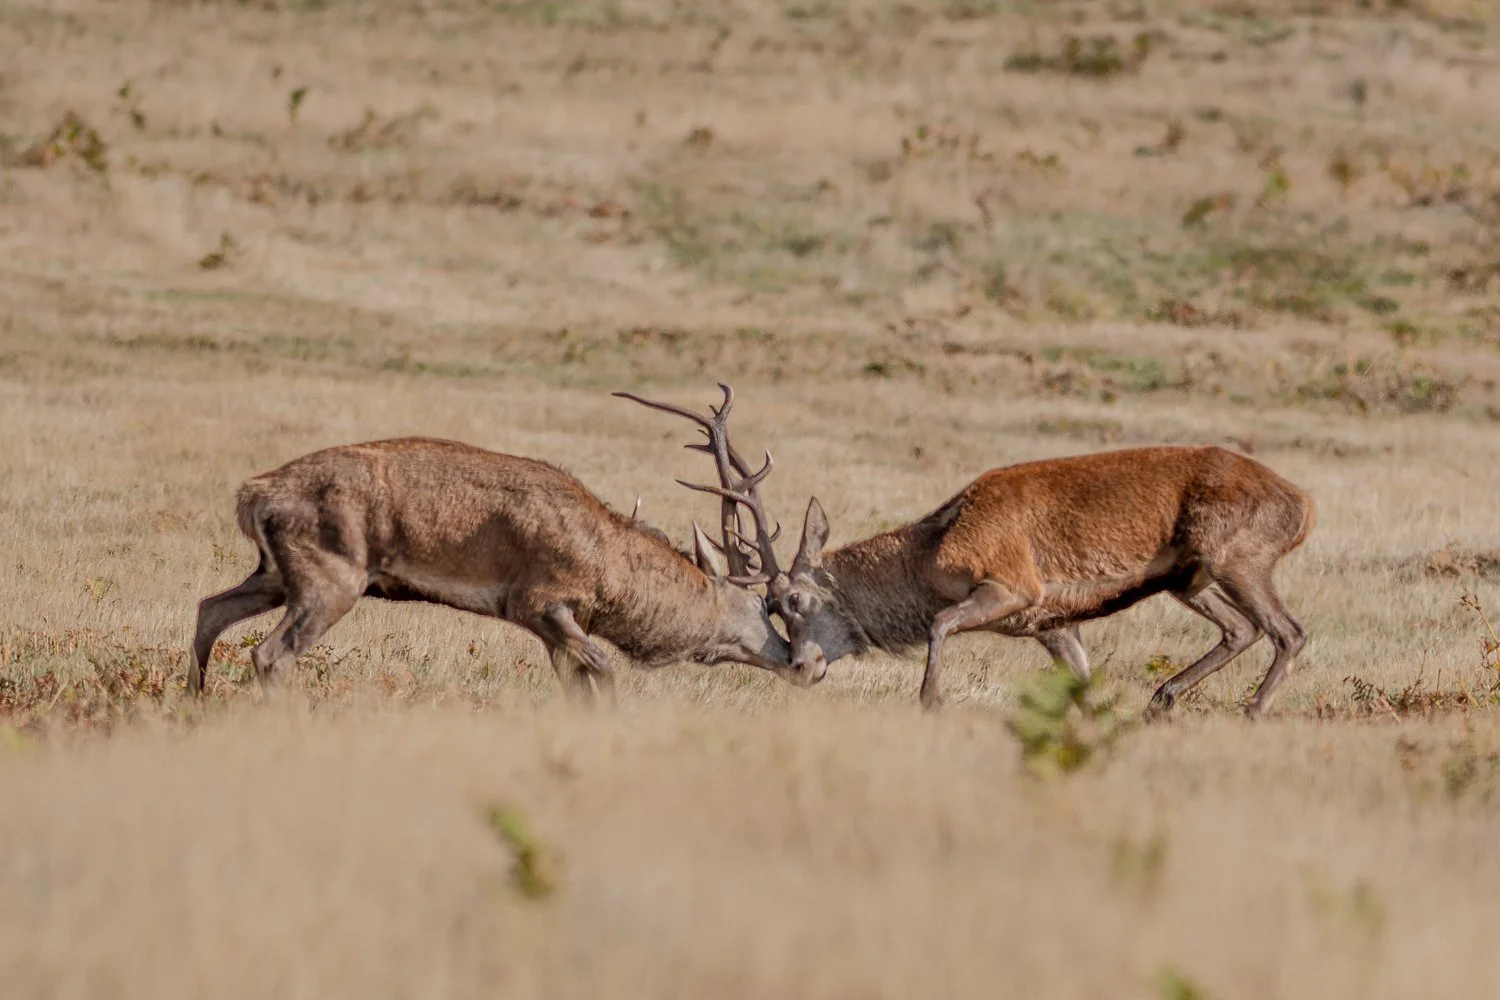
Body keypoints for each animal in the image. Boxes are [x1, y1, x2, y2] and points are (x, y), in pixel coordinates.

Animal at [187, 435, 818, 702]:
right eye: (763, 602)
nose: (804, 664)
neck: (612, 578)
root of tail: (252, 495)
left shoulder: (552, 628)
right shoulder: (539, 601)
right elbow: (605, 673)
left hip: (275, 574)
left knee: (209, 609)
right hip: (331, 578)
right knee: (270, 655)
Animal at [620, 385, 1315, 720]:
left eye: (790, 599)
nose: (798, 666)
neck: (932, 555)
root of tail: (1304, 506)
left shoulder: (1015, 583)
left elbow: (940, 624)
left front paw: (930, 700)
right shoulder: (1049, 622)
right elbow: (1083, 683)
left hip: (1236, 553)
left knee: (1288, 629)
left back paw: (1253, 710)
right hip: (1189, 577)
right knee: (1241, 629)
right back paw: (1164, 699)